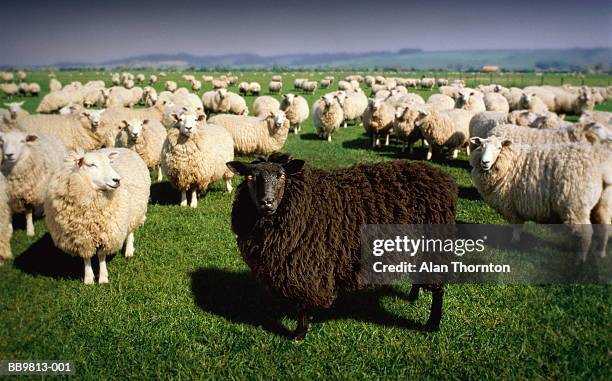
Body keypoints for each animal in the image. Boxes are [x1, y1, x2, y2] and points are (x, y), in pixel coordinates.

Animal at [44, 148, 151, 282]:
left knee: (130, 231)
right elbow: (86, 257)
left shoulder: (105, 232)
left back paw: (129, 251)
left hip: (135, 211)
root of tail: (124, 148)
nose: (117, 180)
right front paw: (89, 279)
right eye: (91, 165)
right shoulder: (81, 236)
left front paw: (103, 278)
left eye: (109, 163)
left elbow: (101, 255)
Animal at [227, 154, 456, 338]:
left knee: (438, 289)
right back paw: (413, 296)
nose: (267, 202)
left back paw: (432, 324)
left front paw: (299, 334)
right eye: (250, 178)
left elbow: (303, 303)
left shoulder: (309, 265)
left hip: (434, 246)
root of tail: (442, 177)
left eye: (282, 176)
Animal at [470, 135, 608, 256]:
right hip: (602, 204)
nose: (485, 162)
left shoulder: (511, 206)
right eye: (481, 146)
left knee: (586, 233)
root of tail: (601, 169)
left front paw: (514, 241)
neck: (510, 162)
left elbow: (516, 225)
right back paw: (600, 253)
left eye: (499, 148)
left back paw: (581, 259)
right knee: (605, 228)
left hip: (576, 205)